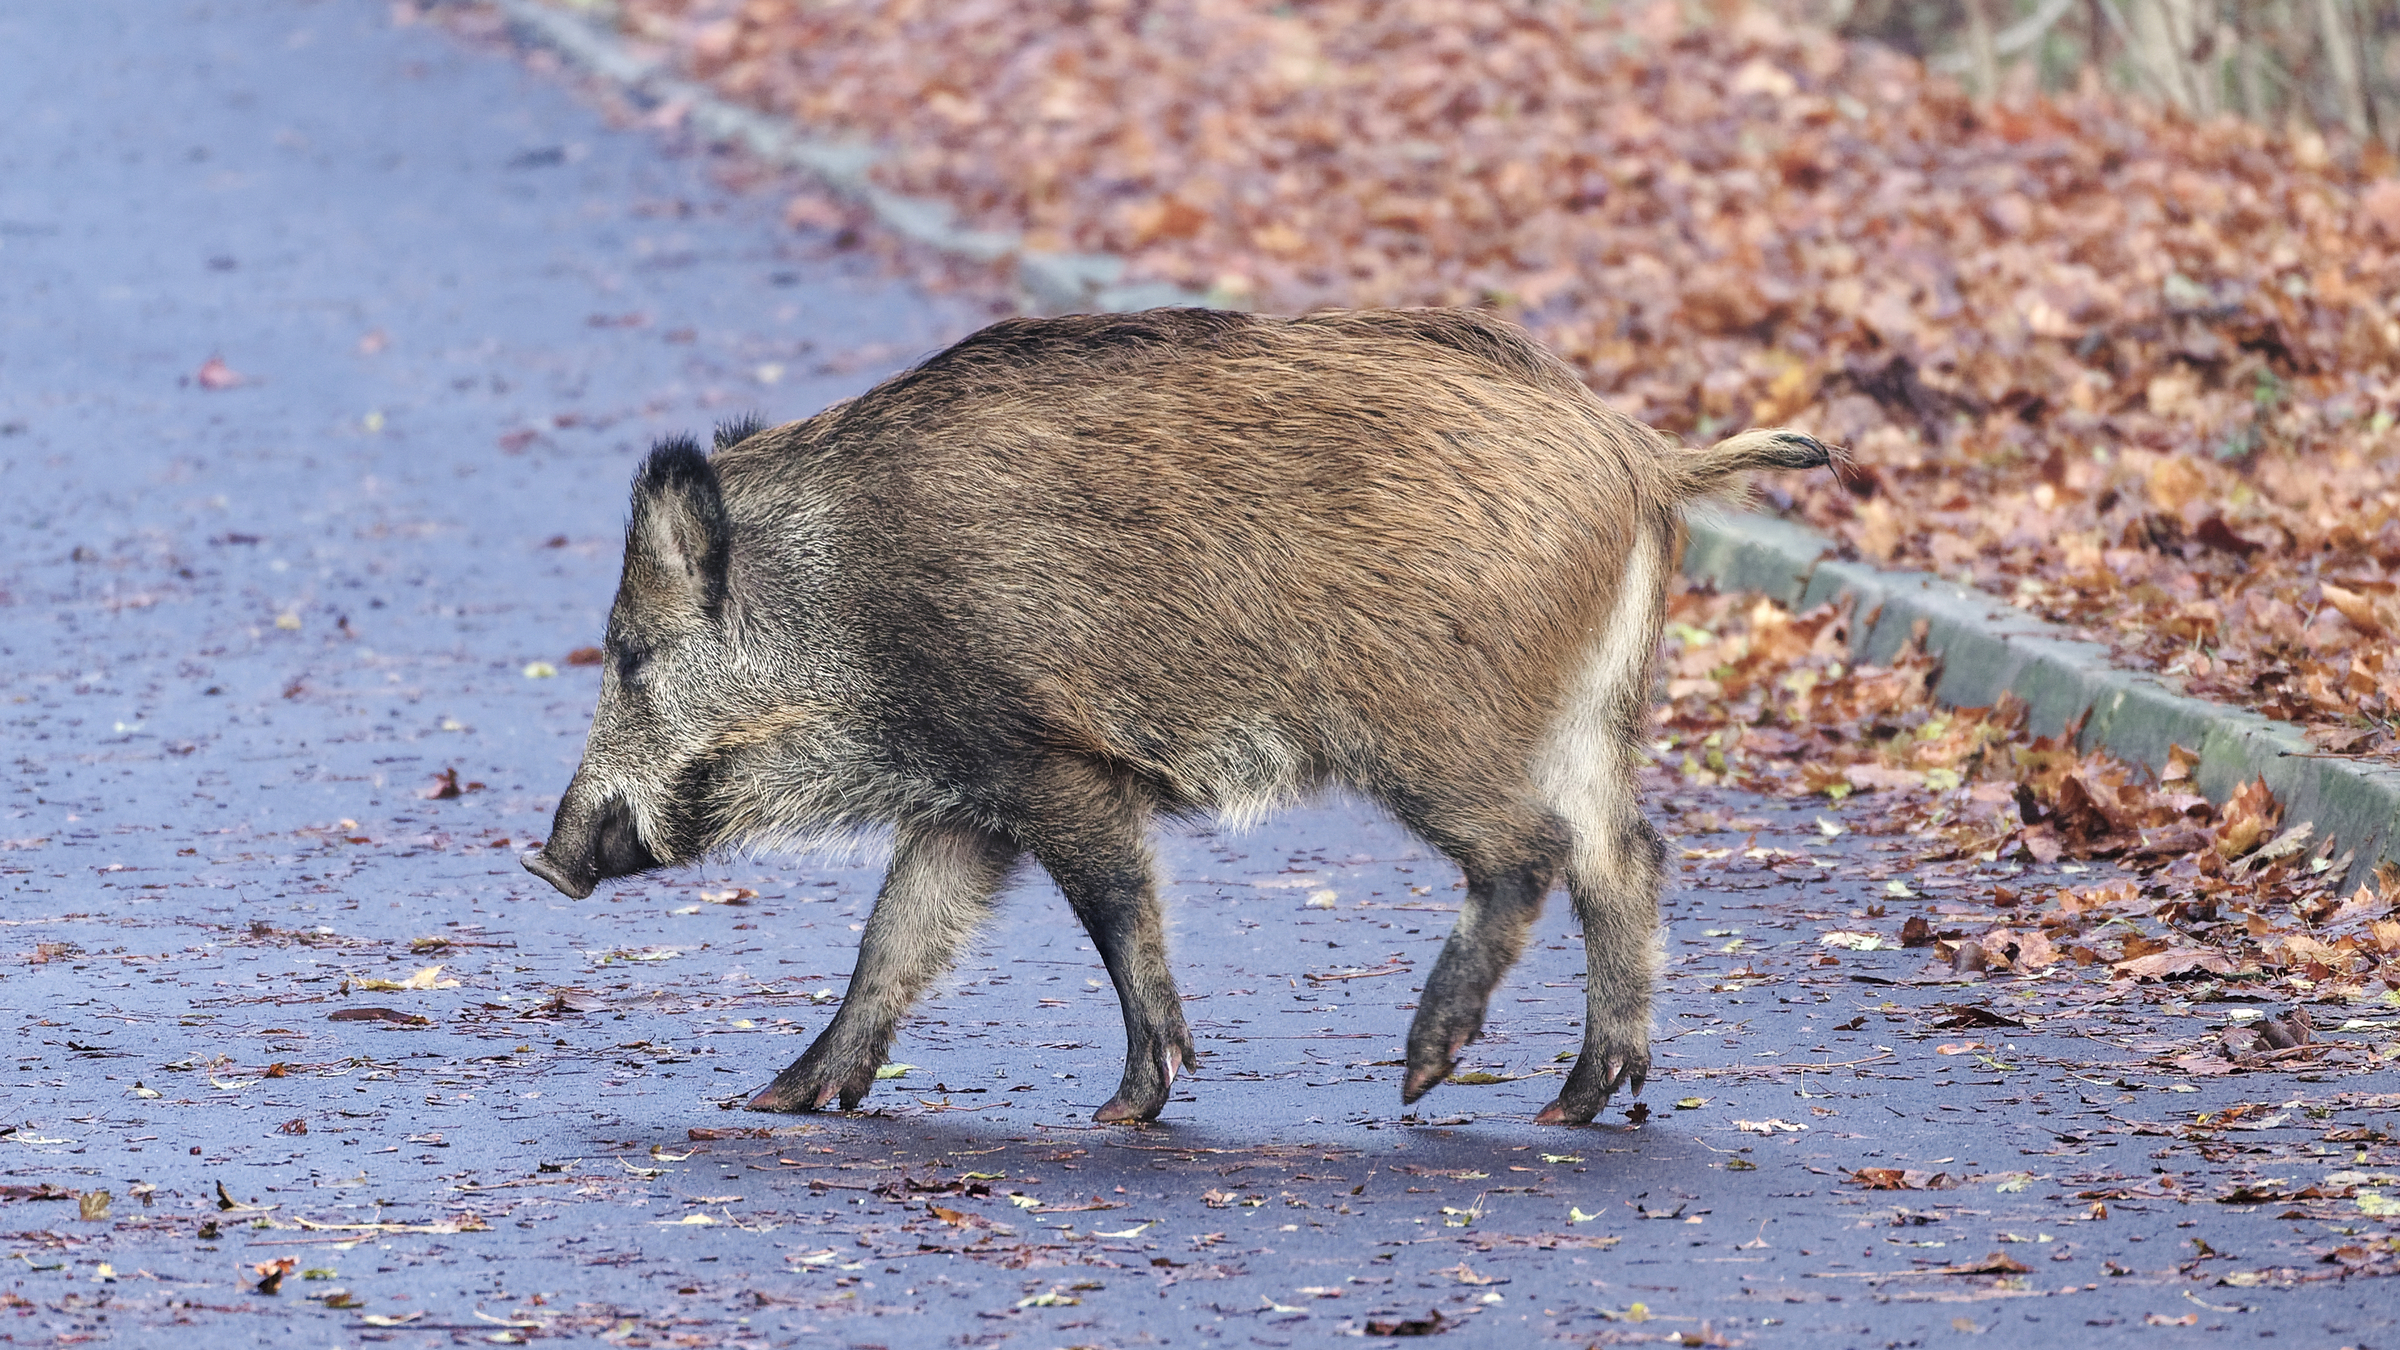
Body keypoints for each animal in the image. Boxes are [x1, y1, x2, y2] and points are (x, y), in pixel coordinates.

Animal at [522, 306, 1833, 1125]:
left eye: (631, 654)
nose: (546, 861)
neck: (846, 597)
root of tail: (1642, 453)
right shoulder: (972, 798)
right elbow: (896, 937)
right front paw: (776, 1099)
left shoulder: (1050, 762)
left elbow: (1113, 910)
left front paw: (1127, 1107)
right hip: (1589, 716)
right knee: (1629, 858)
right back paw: (1576, 1102)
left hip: (1432, 728)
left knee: (1534, 853)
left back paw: (1420, 1079)